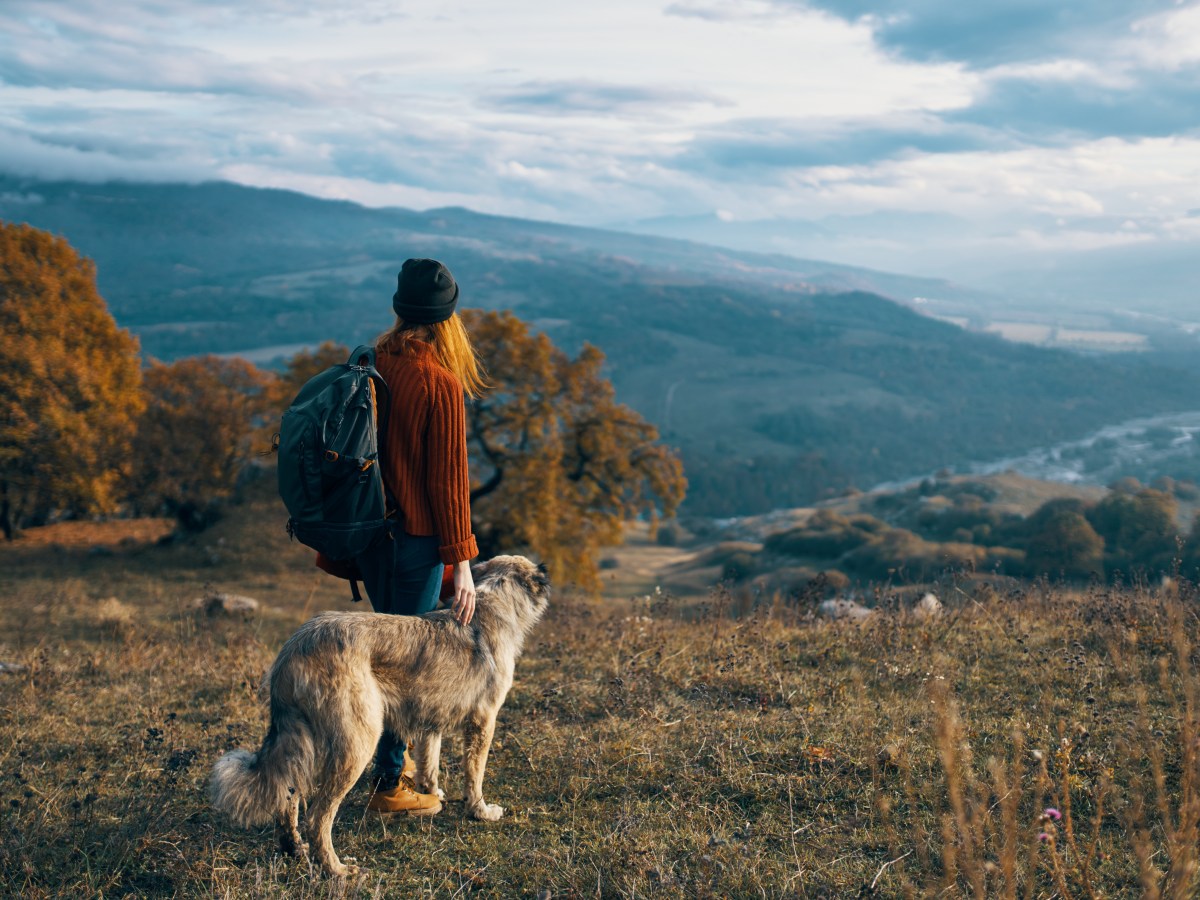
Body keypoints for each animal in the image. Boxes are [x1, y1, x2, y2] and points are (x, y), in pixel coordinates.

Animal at [208, 554, 549, 878]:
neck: (495, 603)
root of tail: (294, 647)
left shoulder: (430, 722)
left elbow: (430, 764)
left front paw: (432, 794)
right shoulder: (483, 721)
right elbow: (474, 774)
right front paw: (480, 811)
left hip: (302, 741)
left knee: (288, 797)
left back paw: (294, 848)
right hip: (358, 741)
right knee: (317, 817)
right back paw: (336, 869)